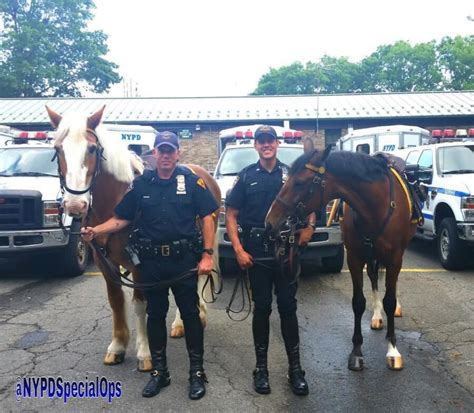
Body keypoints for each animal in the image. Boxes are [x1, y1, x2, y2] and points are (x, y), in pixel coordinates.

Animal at [46, 105, 220, 370]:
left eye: (92, 149)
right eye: (58, 149)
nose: (75, 204)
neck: (116, 203)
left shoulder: (140, 264)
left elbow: (140, 304)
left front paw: (145, 353)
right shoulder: (105, 264)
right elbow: (116, 300)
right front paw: (118, 346)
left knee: (196, 278)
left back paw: (187, 320)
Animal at [266, 146, 418, 370]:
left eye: (300, 182)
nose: (270, 220)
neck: (375, 205)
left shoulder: (394, 257)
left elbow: (389, 300)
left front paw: (392, 349)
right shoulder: (355, 257)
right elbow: (358, 302)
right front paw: (356, 352)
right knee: (373, 277)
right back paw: (376, 316)